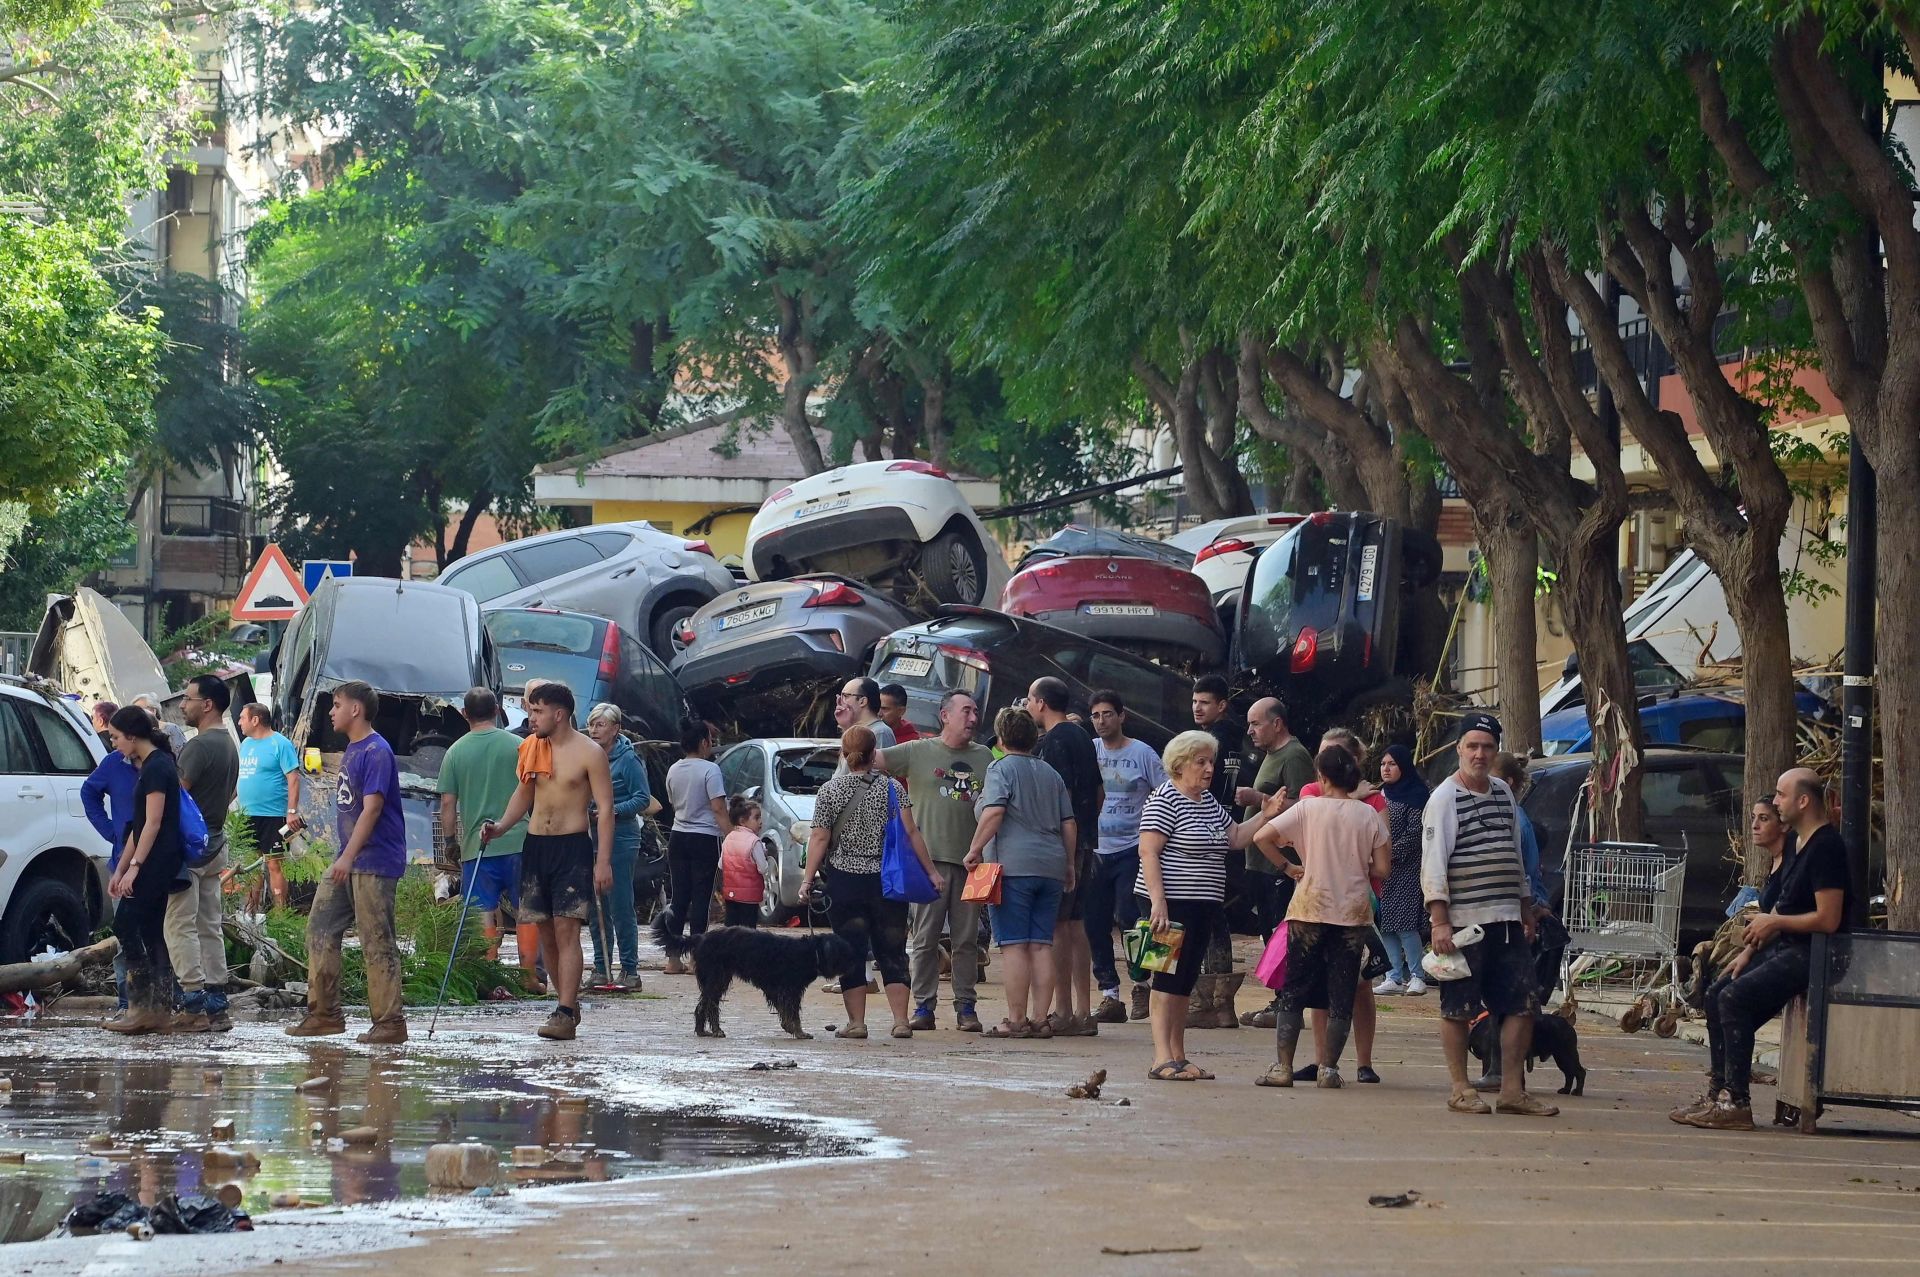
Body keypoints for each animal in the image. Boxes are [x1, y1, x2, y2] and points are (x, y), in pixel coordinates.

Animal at [652, 906, 848, 1036]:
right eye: (845, 953)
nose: (852, 966)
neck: (811, 952)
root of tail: (700, 937)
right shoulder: (790, 990)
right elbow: (792, 1013)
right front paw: (799, 1032)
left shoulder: (778, 990)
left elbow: (785, 1012)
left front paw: (789, 1027)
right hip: (716, 978)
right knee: (708, 1004)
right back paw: (713, 1031)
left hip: (719, 979)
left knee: (707, 1004)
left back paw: (706, 1030)